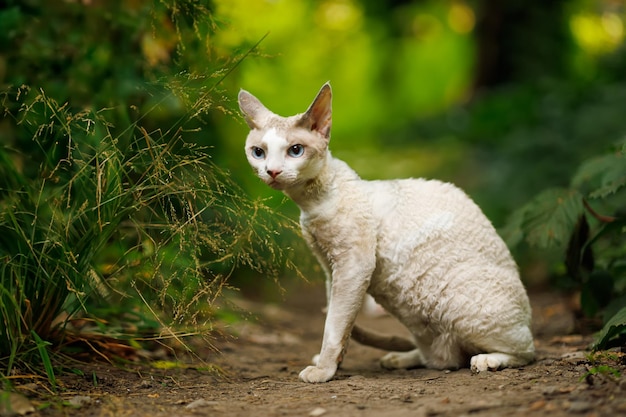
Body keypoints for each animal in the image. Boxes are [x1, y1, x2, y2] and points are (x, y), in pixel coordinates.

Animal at [236, 83, 532, 382]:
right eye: (258, 152)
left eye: (295, 150)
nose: (272, 171)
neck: (310, 205)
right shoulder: (329, 267)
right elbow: (340, 321)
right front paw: (335, 364)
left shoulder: (353, 265)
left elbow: (334, 326)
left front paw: (323, 370)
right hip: (430, 332)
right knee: (443, 358)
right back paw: (400, 358)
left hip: (463, 305)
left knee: (524, 352)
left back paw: (486, 360)